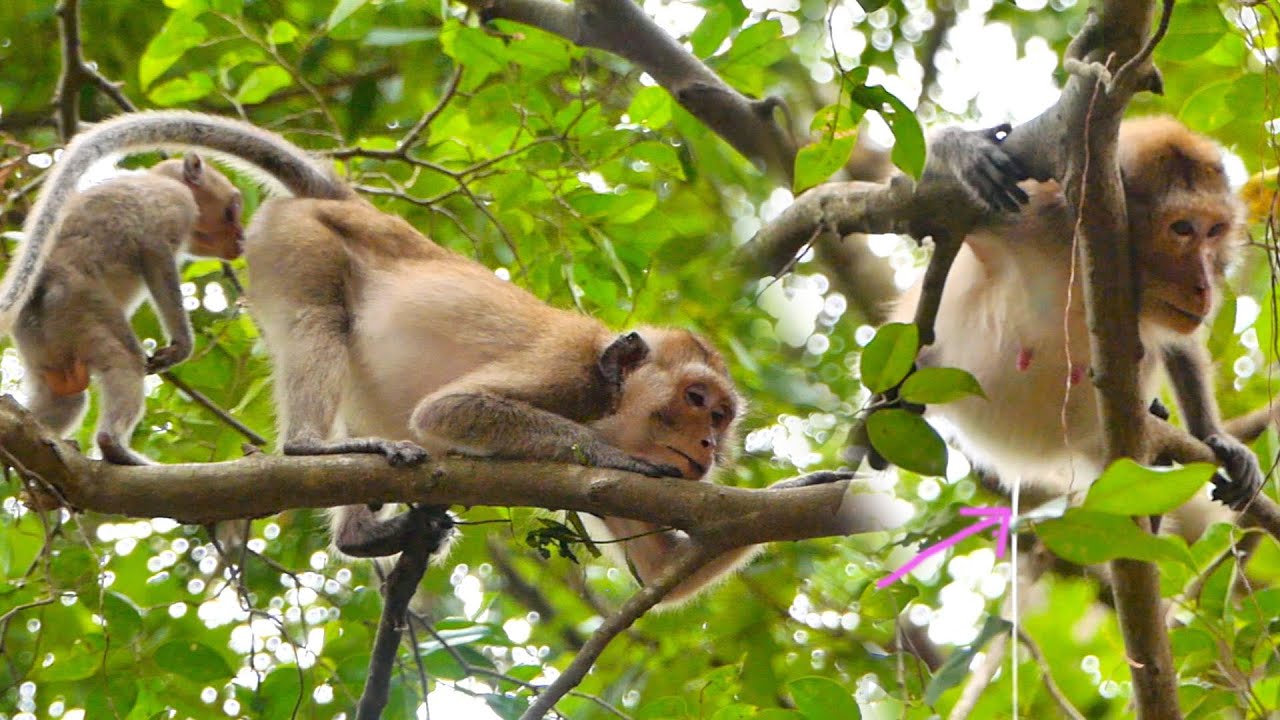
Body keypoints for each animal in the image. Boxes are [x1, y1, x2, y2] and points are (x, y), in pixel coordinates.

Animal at [1, 155, 243, 465]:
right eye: (233, 209)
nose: (241, 237)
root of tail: (42, 283)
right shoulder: (177, 200)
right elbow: (155, 251)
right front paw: (181, 346)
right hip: (80, 302)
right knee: (126, 358)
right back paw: (113, 446)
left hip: (38, 339)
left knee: (66, 395)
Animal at [890, 116, 1261, 538]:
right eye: (1182, 229)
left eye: (1215, 231)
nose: (1204, 286)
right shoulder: (1033, 208)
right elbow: (910, 200)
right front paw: (961, 148)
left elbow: (1183, 346)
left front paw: (1214, 436)